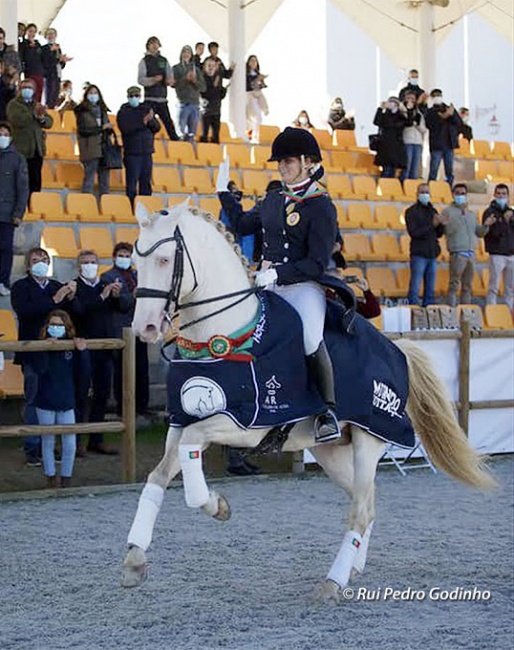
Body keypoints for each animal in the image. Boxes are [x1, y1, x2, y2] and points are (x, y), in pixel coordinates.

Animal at [120, 199, 492, 604]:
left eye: (164, 259)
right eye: (135, 262)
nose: (145, 328)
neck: (229, 334)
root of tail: (397, 351)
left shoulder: (245, 422)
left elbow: (191, 457)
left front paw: (217, 506)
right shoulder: (181, 421)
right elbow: (158, 476)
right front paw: (135, 560)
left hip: (369, 440)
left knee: (361, 510)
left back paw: (333, 583)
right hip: (332, 452)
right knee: (367, 502)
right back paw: (353, 568)